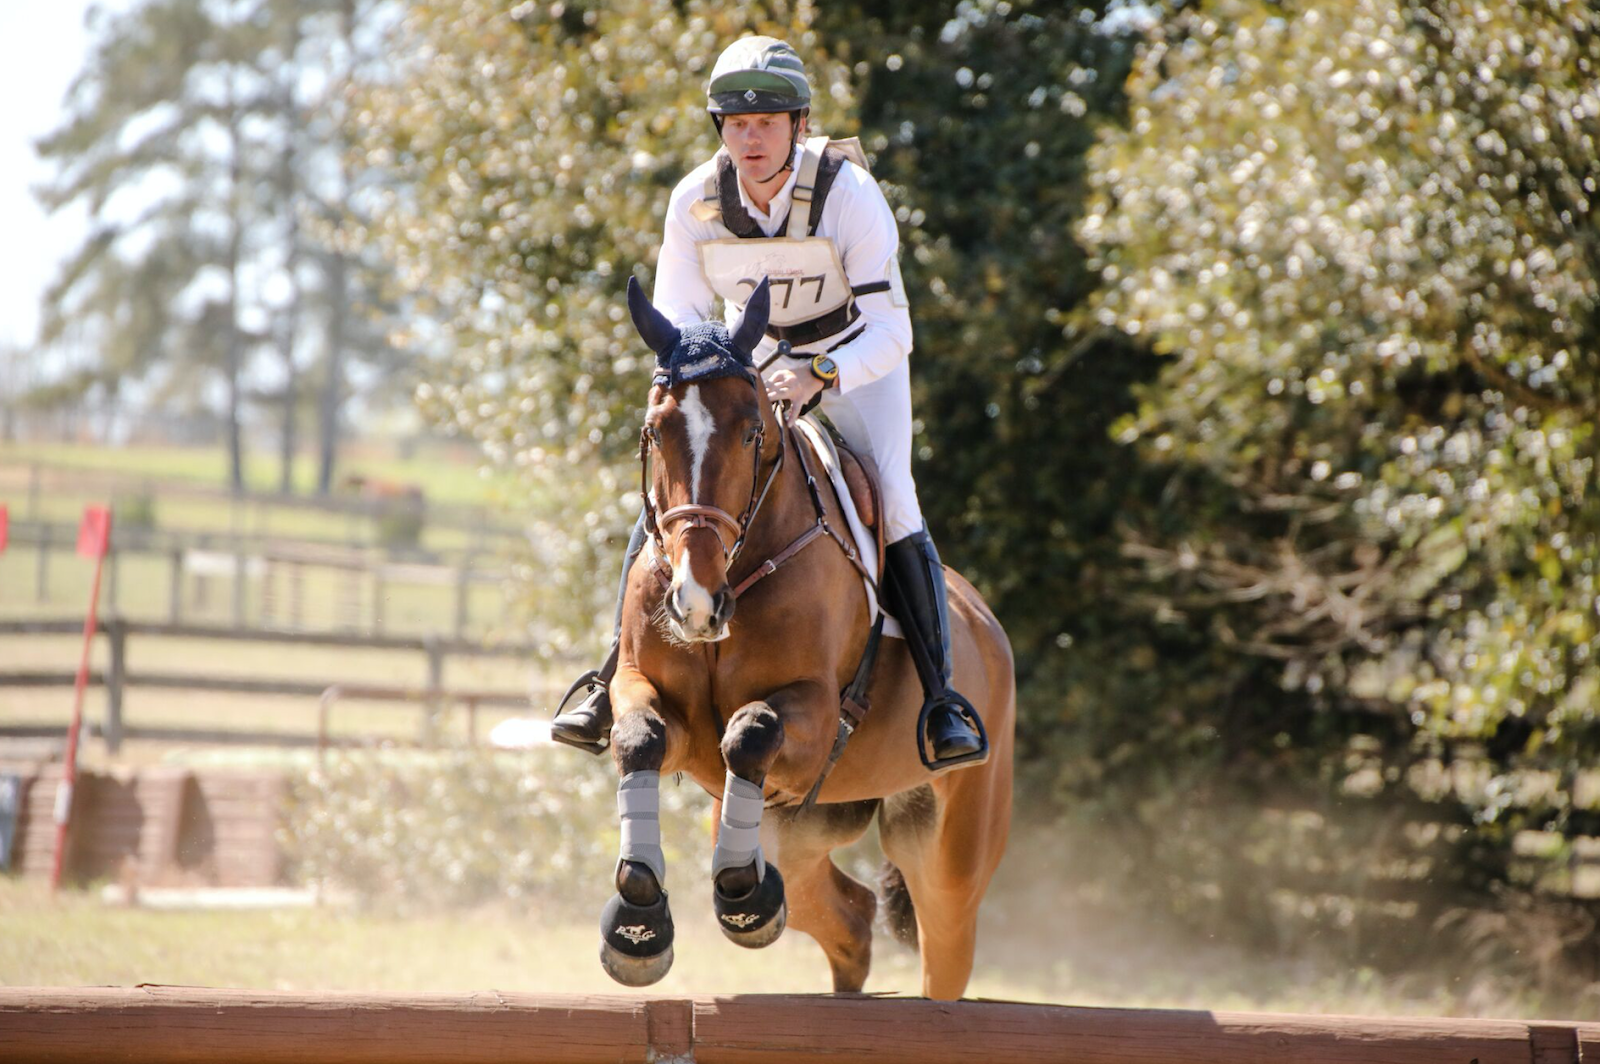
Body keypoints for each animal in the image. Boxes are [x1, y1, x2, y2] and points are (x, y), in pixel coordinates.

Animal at [598, 276, 1014, 1001]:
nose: (695, 604)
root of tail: (988, 626)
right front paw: (638, 918)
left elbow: (751, 731)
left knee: (943, 949)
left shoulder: (817, 714)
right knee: (851, 916)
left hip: (948, 852)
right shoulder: (654, 700)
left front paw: (741, 895)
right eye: (653, 431)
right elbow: (641, 738)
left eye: (751, 432)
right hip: (795, 829)